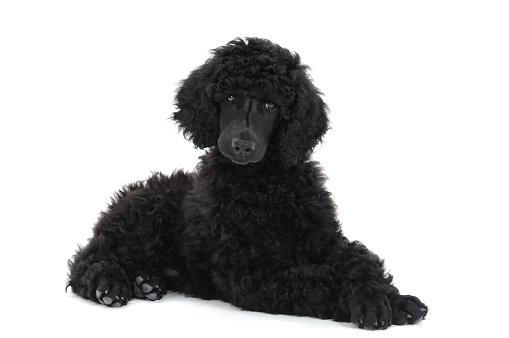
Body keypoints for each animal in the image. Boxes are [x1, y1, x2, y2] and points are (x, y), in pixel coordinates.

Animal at [66, 37, 424, 330]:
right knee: (87, 259)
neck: (266, 183)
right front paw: (369, 302)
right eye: (230, 96)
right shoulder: (255, 274)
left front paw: (393, 298)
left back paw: (147, 281)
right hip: (144, 218)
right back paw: (110, 284)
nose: (242, 146)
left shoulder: (324, 240)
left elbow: (357, 256)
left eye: (271, 105)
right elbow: (318, 281)